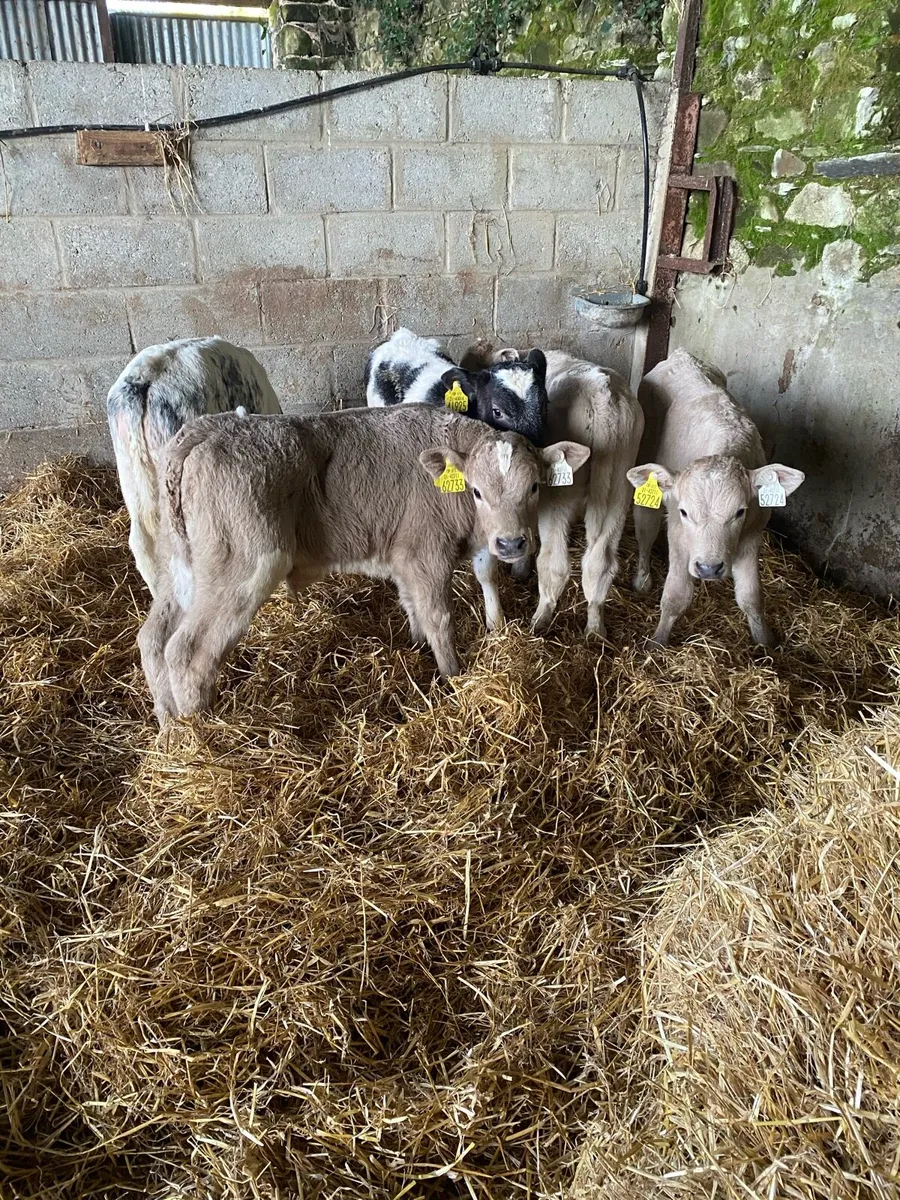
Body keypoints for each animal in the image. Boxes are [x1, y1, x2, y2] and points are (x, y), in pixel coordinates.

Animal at [137, 405, 589, 725]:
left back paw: (169, 729)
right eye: (476, 491)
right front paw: (453, 678)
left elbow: (416, 605)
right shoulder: (425, 554)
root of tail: (205, 429)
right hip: (244, 565)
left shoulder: (404, 558)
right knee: (187, 650)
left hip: (181, 566)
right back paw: (201, 736)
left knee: (154, 638)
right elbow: (439, 617)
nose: (511, 542)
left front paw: (417, 646)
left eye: (534, 487)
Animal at [458, 343, 644, 639]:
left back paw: (539, 619)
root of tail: (604, 395)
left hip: (559, 497)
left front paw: (520, 569)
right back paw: (595, 630)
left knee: (554, 562)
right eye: (498, 410)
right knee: (599, 562)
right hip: (618, 489)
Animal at [628, 348, 805, 647]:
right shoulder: (678, 532)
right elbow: (676, 595)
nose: (709, 568)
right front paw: (657, 642)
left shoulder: (752, 534)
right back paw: (642, 579)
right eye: (685, 512)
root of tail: (680, 354)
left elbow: (751, 597)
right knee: (645, 527)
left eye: (739, 512)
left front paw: (765, 643)